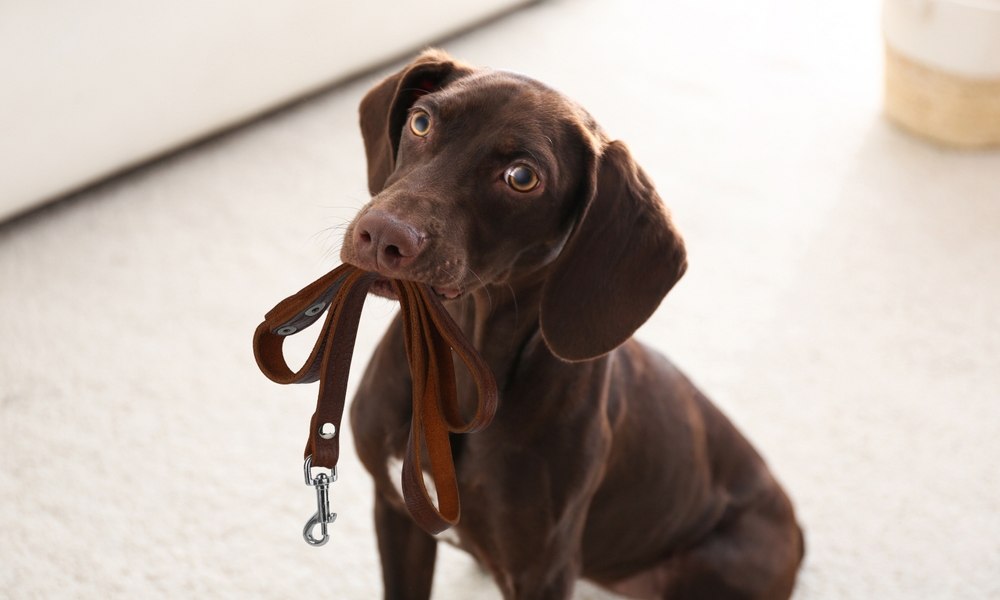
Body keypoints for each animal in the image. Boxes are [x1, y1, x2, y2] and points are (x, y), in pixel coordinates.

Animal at [340, 49, 800, 596]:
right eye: (421, 122)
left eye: (522, 177)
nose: (382, 235)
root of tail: (797, 530)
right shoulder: (397, 514)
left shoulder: (543, 571)